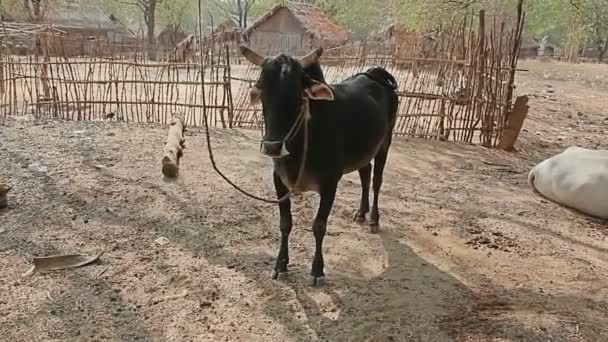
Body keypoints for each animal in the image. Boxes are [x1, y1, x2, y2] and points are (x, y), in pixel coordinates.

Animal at [240, 45, 402, 286]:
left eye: (297, 96)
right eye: (263, 93)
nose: (272, 147)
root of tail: (376, 72)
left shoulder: (329, 184)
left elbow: (319, 226)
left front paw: (317, 270)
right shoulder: (279, 180)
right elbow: (285, 223)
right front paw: (280, 265)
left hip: (385, 143)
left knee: (376, 181)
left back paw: (373, 219)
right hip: (364, 151)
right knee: (365, 175)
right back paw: (361, 213)